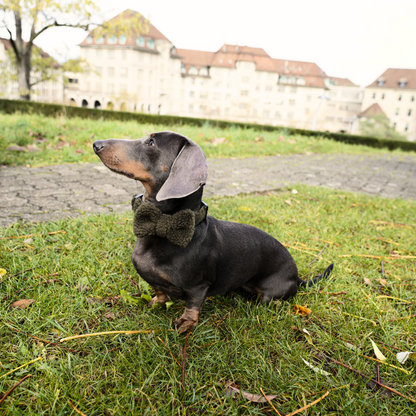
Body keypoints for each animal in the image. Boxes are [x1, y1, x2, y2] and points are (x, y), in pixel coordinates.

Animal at [92, 132, 334, 334]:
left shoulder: (198, 287)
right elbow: (159, 292)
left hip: (271, 293)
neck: (164, 226)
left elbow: (192, 306)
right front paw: (155, 303)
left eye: (151, 142)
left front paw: (186, 324)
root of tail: (297, 276)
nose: (96, 144)